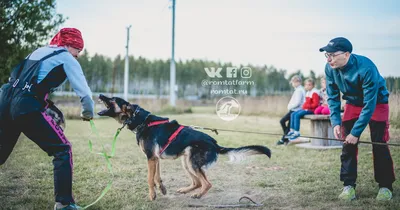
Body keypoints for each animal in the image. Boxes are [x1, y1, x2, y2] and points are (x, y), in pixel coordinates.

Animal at [97, 94, 272, 200]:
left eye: (113, 98)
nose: (99, 95)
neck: (140, 119)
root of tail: (215, 144)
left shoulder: (150, 158)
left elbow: (149, 178)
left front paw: (152, 195)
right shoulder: (155, 158)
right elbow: (156, 177)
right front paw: (162, 189)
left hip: (191, 162)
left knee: (206, 183)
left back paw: (198, 195)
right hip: (186, 161)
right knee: (198, 182)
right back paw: (185, 190)